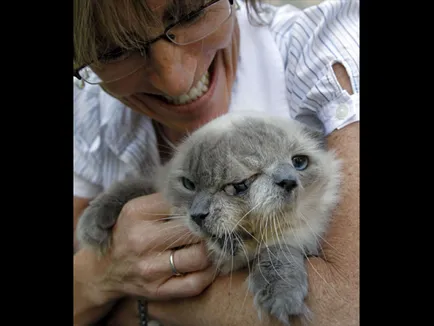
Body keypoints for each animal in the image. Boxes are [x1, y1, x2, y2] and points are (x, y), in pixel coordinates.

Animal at [75, 111, 342, 324]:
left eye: (299, 163)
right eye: (189, 185)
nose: (198, 215)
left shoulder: (301, 238)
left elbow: (278, 252)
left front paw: (282, 299)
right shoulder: (156, 186)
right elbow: (132, 188)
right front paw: (93, 226)